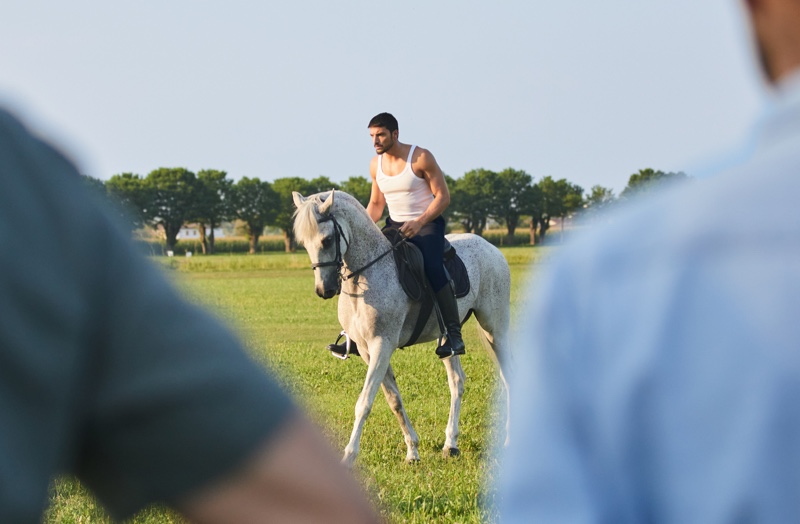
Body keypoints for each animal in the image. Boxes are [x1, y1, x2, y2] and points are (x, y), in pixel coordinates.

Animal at [294, 189, 512, 466]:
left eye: (327, 239)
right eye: (304, 242)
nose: (324, 290)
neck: (366, 274)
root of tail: (492, 248)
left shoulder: (382, 345)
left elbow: (364, 402)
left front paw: (349, 455)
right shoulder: (367, 350)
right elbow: (393, 400)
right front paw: (412, 451)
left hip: (495, 328)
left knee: (507, 375)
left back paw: (509, 441)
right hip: (448, 340)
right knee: (457, 381)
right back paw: (450, 444)